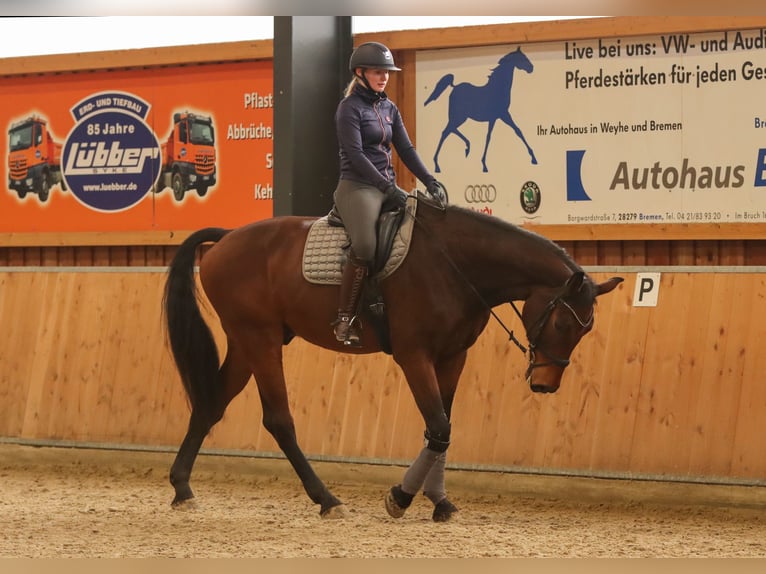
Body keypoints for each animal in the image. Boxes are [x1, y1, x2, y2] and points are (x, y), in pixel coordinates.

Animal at [164, 196, 624, 524]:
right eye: (563, 322)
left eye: (585, 331)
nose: (545, 383)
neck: (454, 265)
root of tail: (227, 237)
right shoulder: (414, 354)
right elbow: (438, 427)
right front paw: (400, 498)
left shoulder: (453, 355)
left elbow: (443, 428)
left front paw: (440, 502)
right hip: (259, 339)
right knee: (279, 420)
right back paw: (327, 500)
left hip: (247, 342)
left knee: (210, 405)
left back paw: (182, 488)